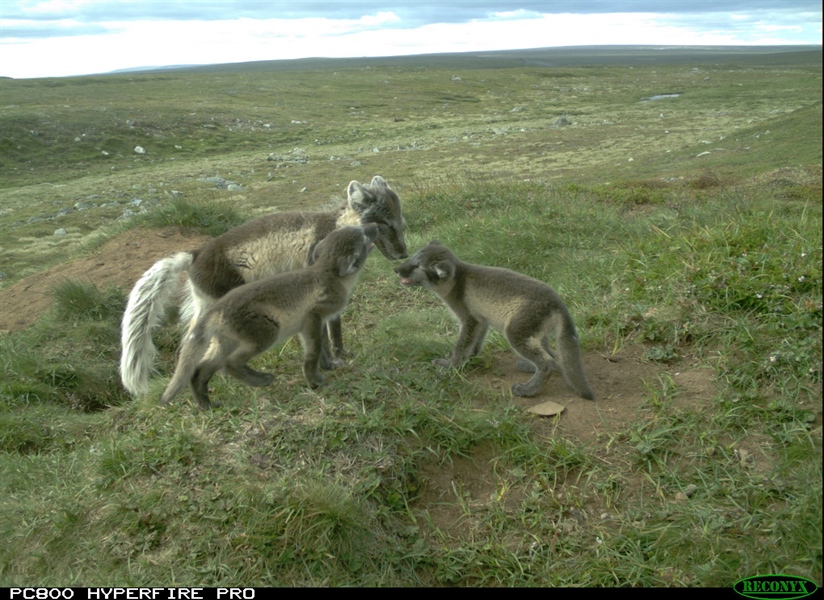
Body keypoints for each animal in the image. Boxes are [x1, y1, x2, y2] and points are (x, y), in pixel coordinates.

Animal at [121, 176, 406, 396]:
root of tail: (195, 253)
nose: (404, 254)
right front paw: (326, 363)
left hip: (205, 308)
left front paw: (342, 353)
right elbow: (322, 336)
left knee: (189, 344)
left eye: (401, 223)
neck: (337, 226)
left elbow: (335, 329)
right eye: (386, 224)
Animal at [394, 241, 592, 400]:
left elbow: (460, 346)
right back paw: (531, 367)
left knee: (548, 363)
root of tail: (558, 303)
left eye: (417, 266)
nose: (395, 269)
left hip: (516, 332)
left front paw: (451, 365)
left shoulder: (469, 318)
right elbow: (474, 344)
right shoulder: (481, 321)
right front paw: (469, 359)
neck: (457, 281)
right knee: (554, 356)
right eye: (412, 258)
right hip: (536, 333)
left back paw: (529, 389)